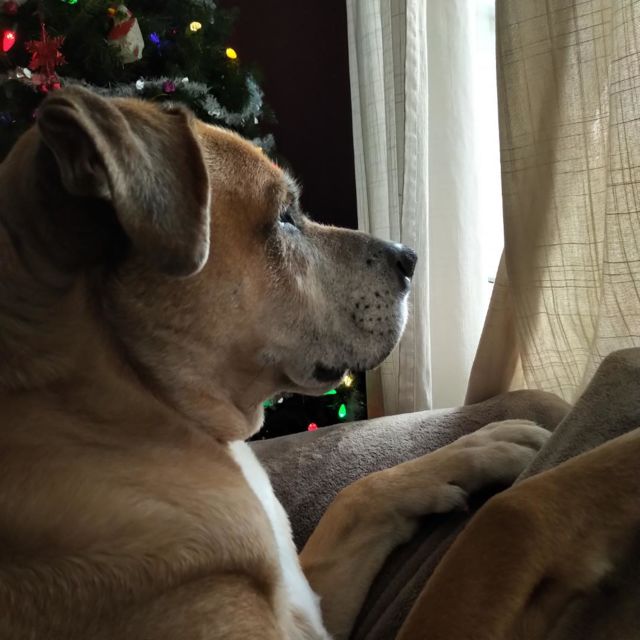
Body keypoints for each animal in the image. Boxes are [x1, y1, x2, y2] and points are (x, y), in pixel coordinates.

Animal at [0, 86, 551, 639]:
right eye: (285, 215)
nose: (410, 257)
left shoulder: (311, 601)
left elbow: (356, 494)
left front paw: (477, 447)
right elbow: (484, 561)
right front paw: (533, 506)